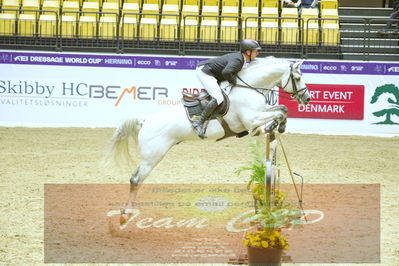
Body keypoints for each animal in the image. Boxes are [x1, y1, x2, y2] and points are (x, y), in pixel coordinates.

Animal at [109, 56, 312, 227]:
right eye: (297, 77)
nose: (307, 98)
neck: (249, 88)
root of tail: (145, 121)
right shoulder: (252, 118)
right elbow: (281, 110)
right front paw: (278, 126)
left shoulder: (259, 114)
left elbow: (281, 109)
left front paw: (276, 127)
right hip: (152, 156)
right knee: (136, 179)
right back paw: (125, 215)